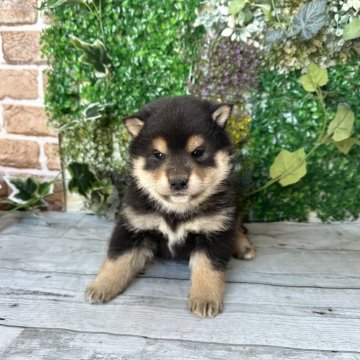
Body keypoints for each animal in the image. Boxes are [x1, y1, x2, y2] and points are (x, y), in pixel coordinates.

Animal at [85, 95, 255, 318]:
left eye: (198, 152)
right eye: (158, 155)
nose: (178, 182)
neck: (176, 211)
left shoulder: (214, 231)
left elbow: (208, 269)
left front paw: (205, 298)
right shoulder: (133, 226)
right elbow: (117, 260)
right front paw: (101, 286)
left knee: (237, 227)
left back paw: (243, 246)